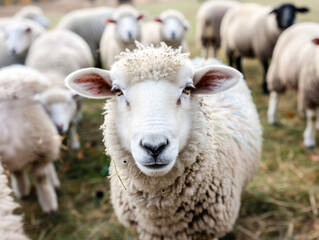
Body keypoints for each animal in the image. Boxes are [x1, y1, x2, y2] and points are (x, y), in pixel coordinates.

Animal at [0, 64, 60, 213]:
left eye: (15, 97)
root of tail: (14, 68)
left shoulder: (42, 154)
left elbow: (41, 178)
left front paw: (49, 205)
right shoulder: (10, 161)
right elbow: (17, 173)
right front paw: (22, 191)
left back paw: (54, 181)